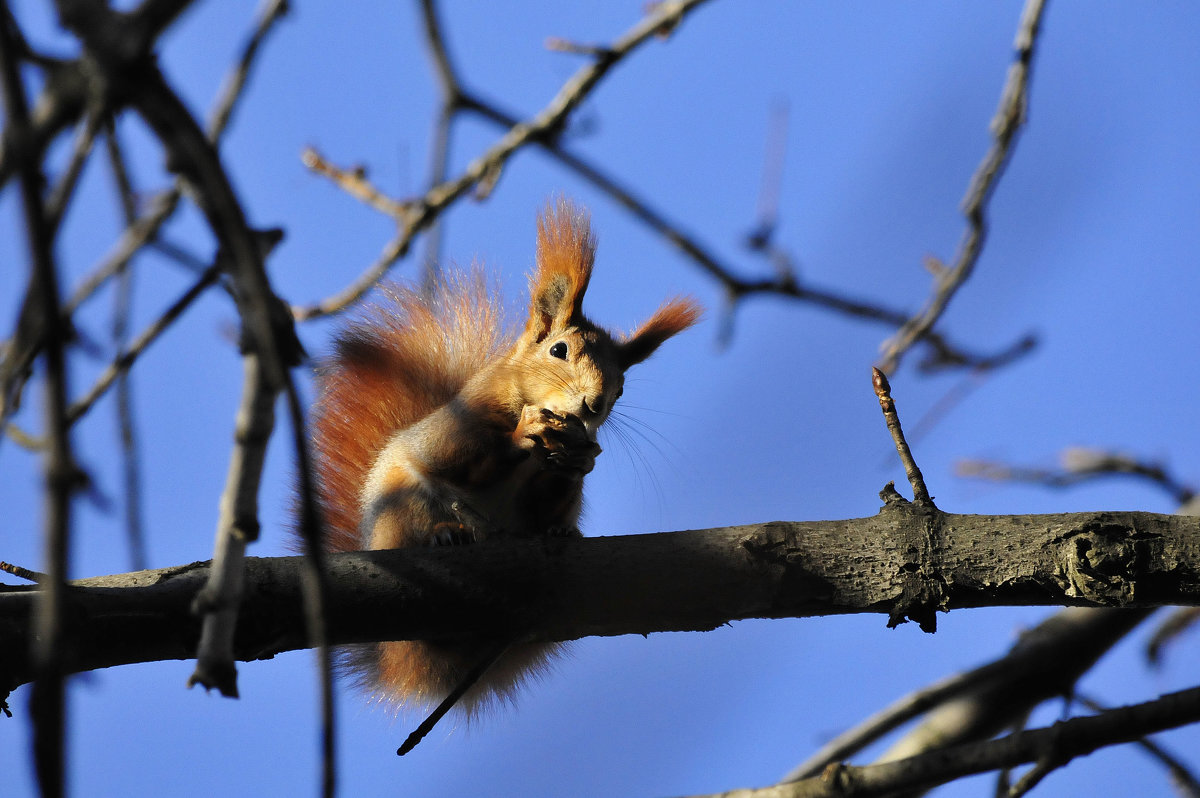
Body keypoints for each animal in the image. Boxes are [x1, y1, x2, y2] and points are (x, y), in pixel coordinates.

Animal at [307, 199, 700, 720]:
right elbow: (460, 459)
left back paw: (557, 533)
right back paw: (447, 533)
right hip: (402, 507)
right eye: (559, 350)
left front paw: (575, 471)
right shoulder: (459, 425)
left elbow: (553, 494)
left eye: (621, 387)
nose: (594, 405)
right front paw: (523, 434)